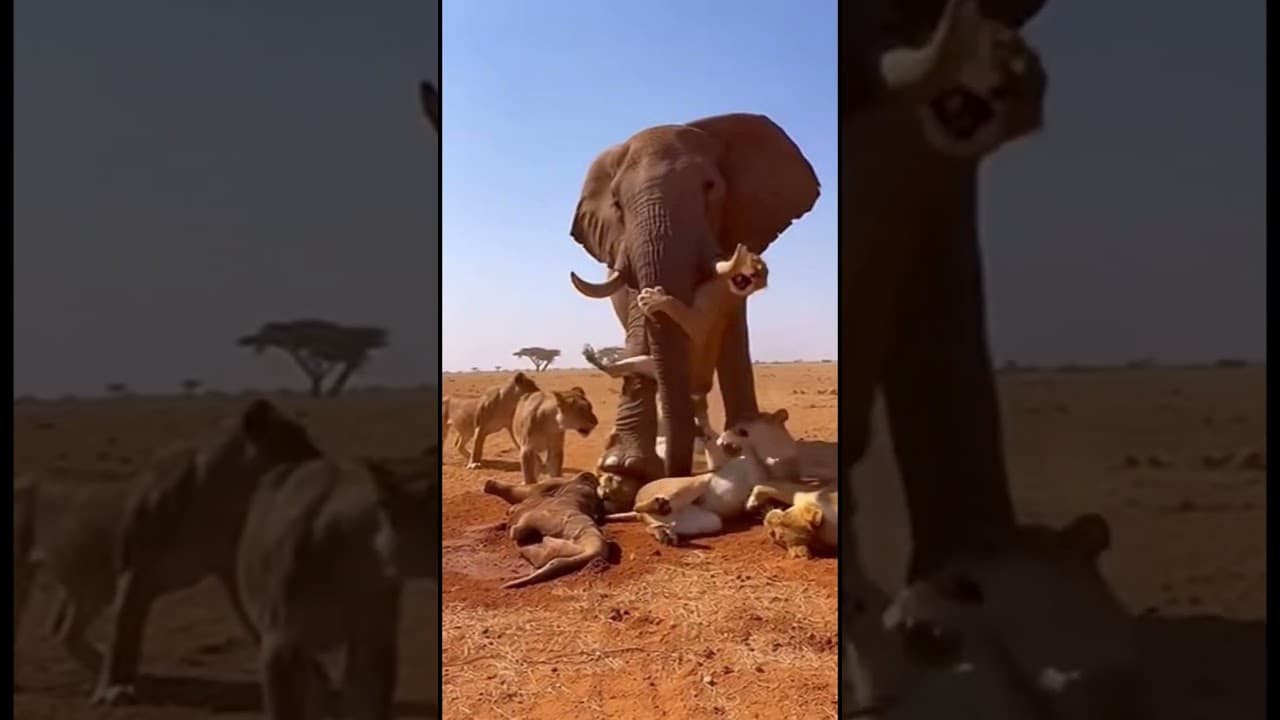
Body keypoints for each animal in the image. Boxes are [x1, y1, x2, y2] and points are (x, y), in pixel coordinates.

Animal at [11, 399, 322, 706]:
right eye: (296, 438)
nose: (321, 459)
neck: (223, 496)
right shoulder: (135, 572)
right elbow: (124, 635)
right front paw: (114, 689)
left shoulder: (228, 569)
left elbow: (254, 619)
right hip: (27, 573)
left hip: (92, 587)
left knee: (66, 631)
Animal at [576, 243, 768, 438]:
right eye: (757, 265)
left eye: (760, 272)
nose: (756, 276)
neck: (728, 286)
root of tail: (698, 389)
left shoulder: (708, 309)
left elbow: (694, 324)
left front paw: (655, 298)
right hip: (652, 365)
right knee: (624, 368)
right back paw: (596, 359)